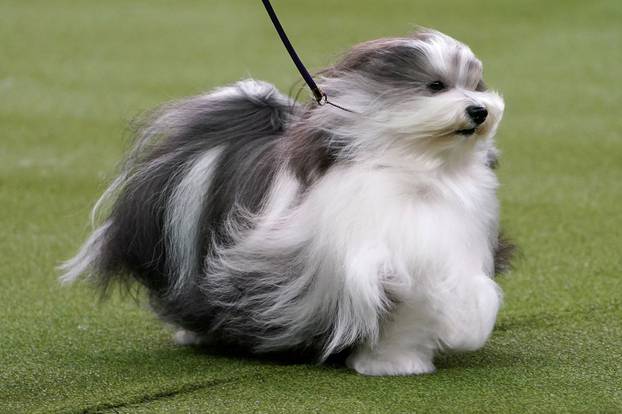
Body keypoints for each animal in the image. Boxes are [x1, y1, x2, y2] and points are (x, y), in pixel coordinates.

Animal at [61, 29, 516, 376]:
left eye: (476, 85)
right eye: (436, 86)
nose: (479, 110)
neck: (415, 172)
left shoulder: (440, 252)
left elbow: (425, 308)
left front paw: (398, 363)